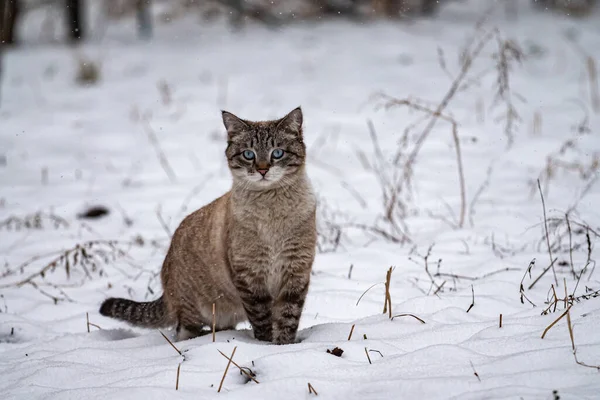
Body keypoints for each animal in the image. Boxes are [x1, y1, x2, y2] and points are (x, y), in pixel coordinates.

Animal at [99, 108, 318, 346]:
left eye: (277, 153)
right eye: (248, 154)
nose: (262, 170)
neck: (272, 212)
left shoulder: (295, 271)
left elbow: (288, 320)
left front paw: (284, 346)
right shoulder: (251, 278)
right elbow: (263, 322)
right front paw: (266, 346)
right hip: (193, 312)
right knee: (182, 331)